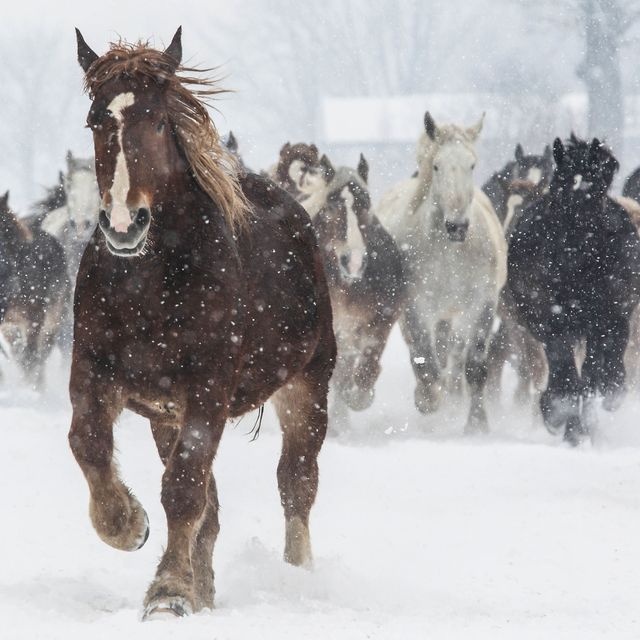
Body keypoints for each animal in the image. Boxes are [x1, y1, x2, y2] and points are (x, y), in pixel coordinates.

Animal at [71, 28, 335, 619]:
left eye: (157, 122)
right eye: (96, 122)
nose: (123, 226)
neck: (149, 282)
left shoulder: (208, 387)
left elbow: (184, 489)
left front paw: (167, 592)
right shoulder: (98, 373)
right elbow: (88, 444)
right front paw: (127, 525)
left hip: (307, 386)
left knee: (297, 484)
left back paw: (297, 575)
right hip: (166, 415)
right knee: (211, 509)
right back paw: (205, 590)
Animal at [300, 153, 405, 428]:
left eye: (366, 205)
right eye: (331, 206)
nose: (355, 262)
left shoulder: (382, 321)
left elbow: (367, 366)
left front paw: (362, 394)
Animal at [377, 111, 507, 433]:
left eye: (472, 164)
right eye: (436, 166)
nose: (457, 226)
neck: (450, 254)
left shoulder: (482, 305)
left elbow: (475, 366)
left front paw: (476, 425)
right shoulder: (416, 306)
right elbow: (426, 365)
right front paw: (427, 402)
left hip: (454, 316)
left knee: (454, 356)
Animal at [508, 135, 640, 444]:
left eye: (598, 192)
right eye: (558, 192)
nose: (566, 260)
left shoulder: (612, 317)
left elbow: (601, 374)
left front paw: (604, 400)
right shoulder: (551, 321)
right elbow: (566, 376)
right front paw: (560, 418)